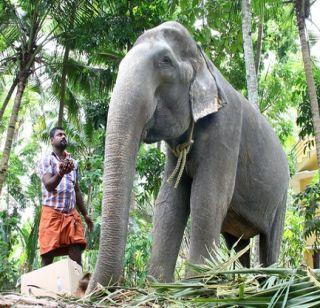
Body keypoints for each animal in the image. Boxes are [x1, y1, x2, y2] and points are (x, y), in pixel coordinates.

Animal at [87, 21, 290, 288]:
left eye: (165, 62)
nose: (93, 289)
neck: (204, 61)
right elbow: (170, 200)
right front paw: (160, 286)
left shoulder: (226, 128)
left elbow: (209, 195)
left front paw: (197, 284)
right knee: (238, 245)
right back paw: (241, 281)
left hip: (282, 195)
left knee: (270, 243)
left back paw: (270, 283)